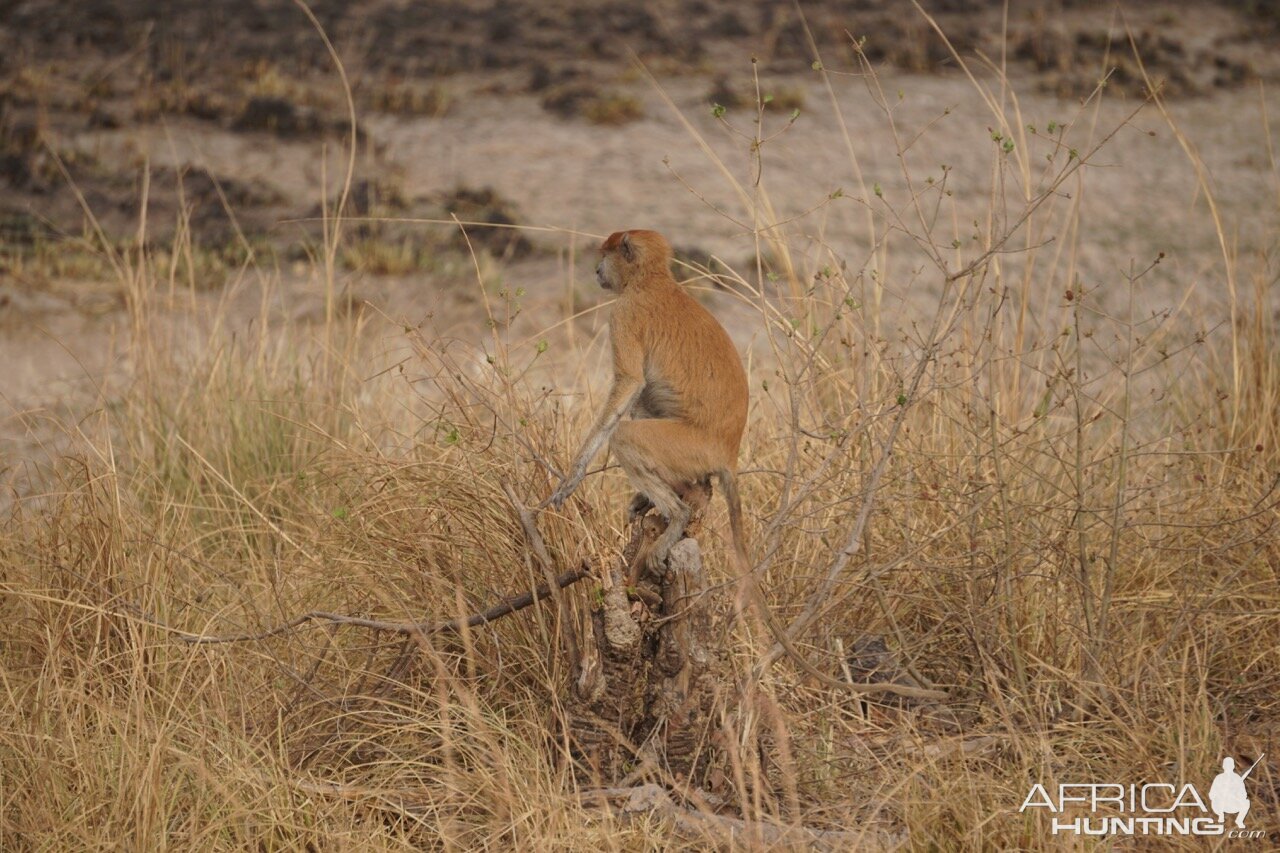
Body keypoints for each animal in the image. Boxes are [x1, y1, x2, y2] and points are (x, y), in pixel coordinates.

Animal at [547, 225, 747, 573]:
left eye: (605, 255)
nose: (597, 270)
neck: (652, 280)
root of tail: (729, 452)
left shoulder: (623, 313)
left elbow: (629, 383)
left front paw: (574, 475)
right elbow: (635, 390)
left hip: (690, 447)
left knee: (625, 434)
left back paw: (677, 516)